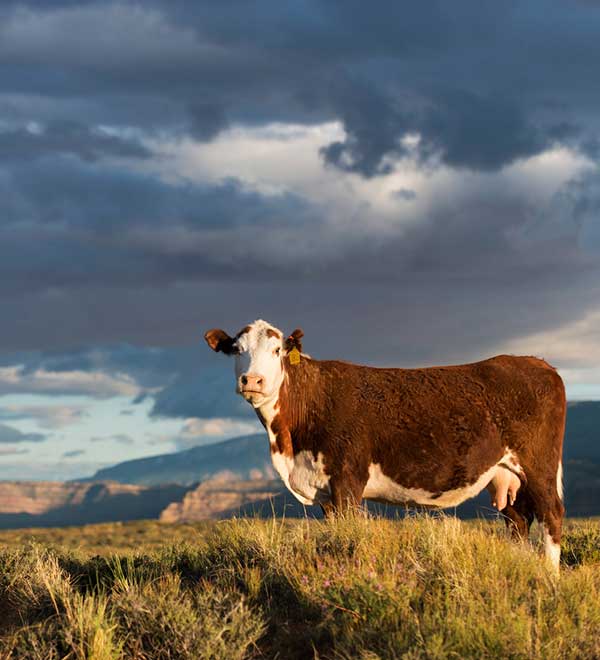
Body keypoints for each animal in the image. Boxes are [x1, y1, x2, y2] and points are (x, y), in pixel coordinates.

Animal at [204, 318, 564, 568]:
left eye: (277, 350)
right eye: (236, 350)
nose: (252, 380)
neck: (290, 444)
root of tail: (537, 362)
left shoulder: (347, 478)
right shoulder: (325, 491)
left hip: (539, 465)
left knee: (551, 513)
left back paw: (549, 576)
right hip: (507, 473)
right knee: (518, 518)